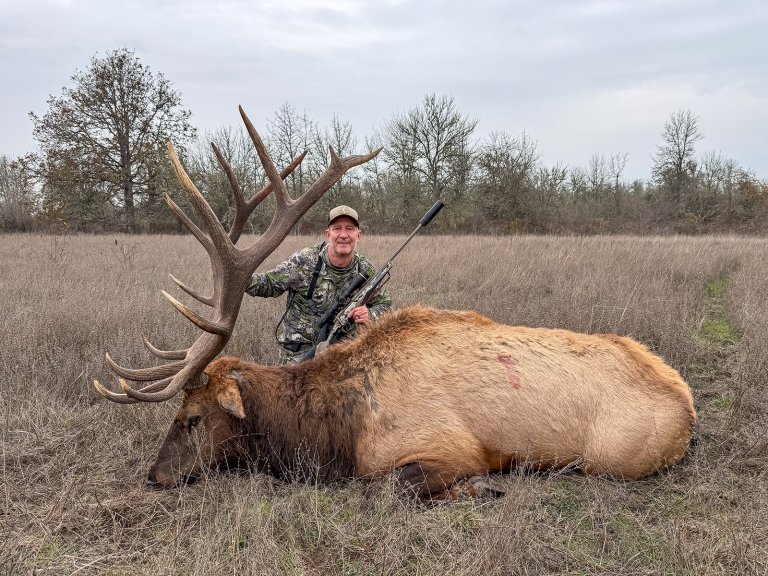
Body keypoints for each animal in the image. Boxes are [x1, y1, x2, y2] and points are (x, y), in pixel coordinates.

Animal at [94, 107, 697, 500]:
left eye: (192, 417)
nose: (154, 476)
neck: (335, 433)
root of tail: (688, 405)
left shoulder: (445, 448)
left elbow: (389, 487)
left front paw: (481, 488)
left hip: (615, 457)